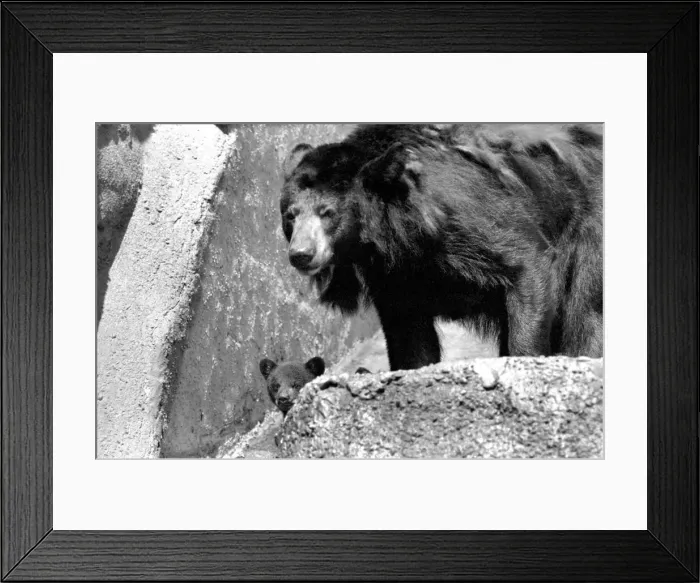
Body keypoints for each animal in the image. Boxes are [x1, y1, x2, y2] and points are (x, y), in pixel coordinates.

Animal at [280, 124, 603, 371]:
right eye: (290, 215)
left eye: (327, 213)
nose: (301, 255)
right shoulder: (393, 273)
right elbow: (409, 333)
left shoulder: (459, 212)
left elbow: (525, 260)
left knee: (585, 312)